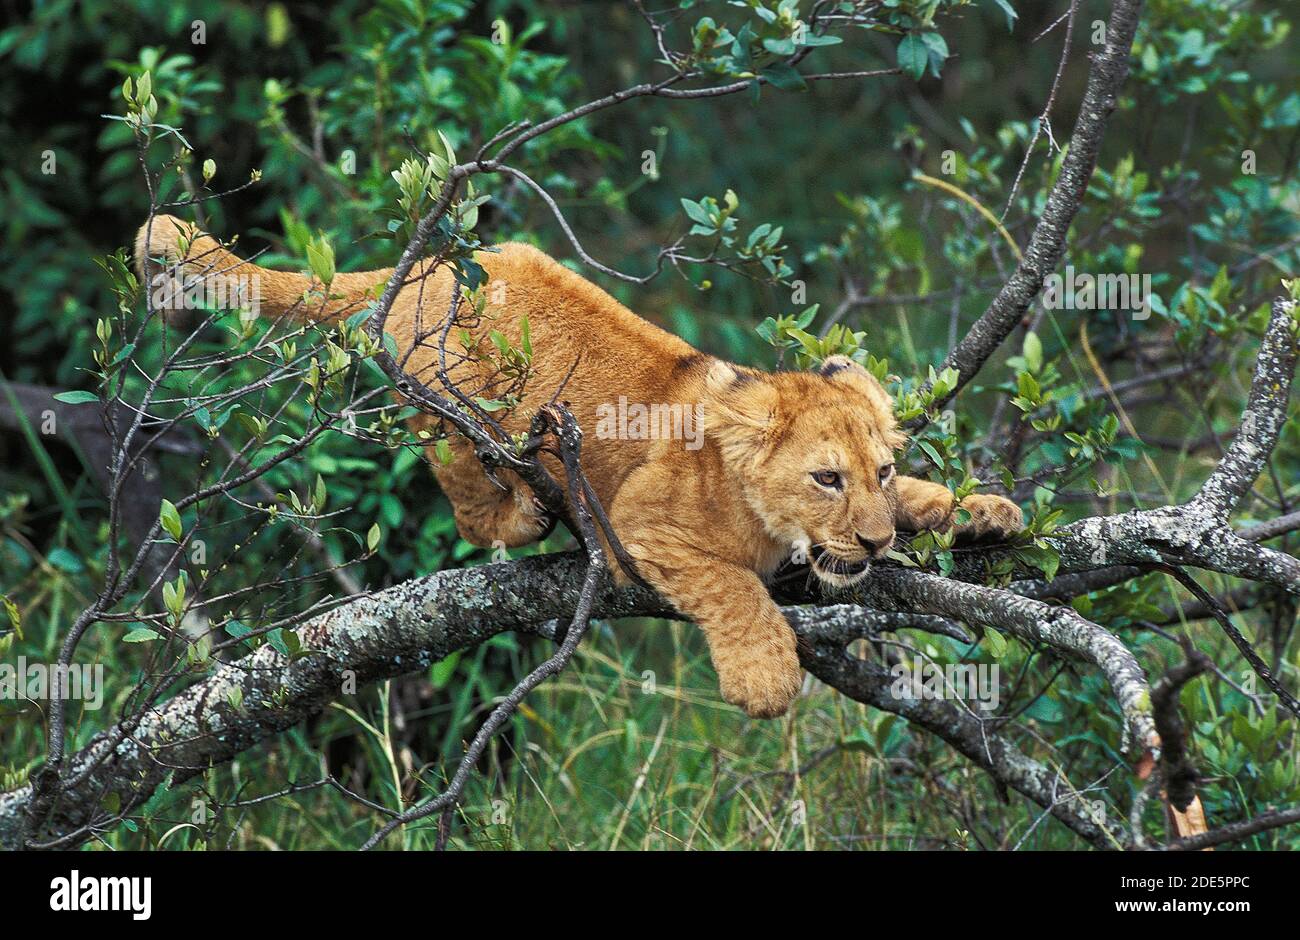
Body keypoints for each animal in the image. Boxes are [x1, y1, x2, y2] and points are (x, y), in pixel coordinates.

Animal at [135, 214, 1023, 718]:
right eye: (825, 480)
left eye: (879, 472)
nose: (874, 547)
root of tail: (427, 266)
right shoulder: (638, 523)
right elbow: (733, 586)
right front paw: (766, 676)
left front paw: (979, 509)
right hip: (448, 398)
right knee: (462, 486)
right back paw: (524, 513)